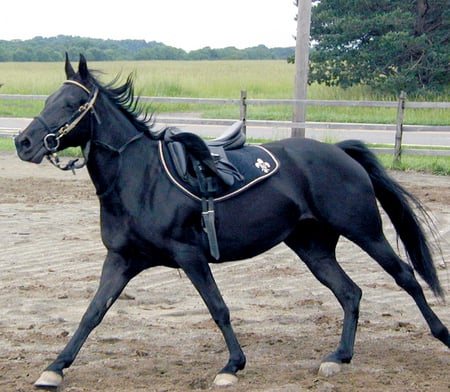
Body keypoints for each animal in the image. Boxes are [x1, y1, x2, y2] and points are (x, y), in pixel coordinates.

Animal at [14, 55, 450, 388]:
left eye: (73, 103)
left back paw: (440, 334)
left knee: (406, 277)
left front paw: (232, 366)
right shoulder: (121, 260)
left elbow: (218, 307)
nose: (23, 142)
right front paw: (54, 368)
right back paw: (339, 356)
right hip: (313, 247)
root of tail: (339, 151)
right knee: (350, 293)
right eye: (51, 98)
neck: (142, 178)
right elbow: (93, 312)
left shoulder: (190, 256)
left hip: (365, 232)